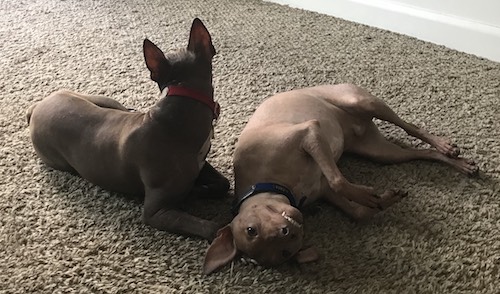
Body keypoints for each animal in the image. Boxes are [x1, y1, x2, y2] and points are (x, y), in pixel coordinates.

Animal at [26, 18, 229, 241]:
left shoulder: (200, 163)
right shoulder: (156, 213)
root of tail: (37, 107)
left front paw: (199, 189)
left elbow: (223, 183)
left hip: (102, 100)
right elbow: (212, 228)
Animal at [202, 82, 476, 274]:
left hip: (362, 101)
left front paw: (368, 194)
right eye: (285, 252)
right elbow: (357, 212)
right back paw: (460, 163)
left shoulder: (309, 133)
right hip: (381, 153)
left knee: (412, 127)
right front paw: (383, 200)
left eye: (252, 229)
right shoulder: (325, 191)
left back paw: (445, 146)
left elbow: (339, 180)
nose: (287, 230)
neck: (272, 183)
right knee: (420, 153)